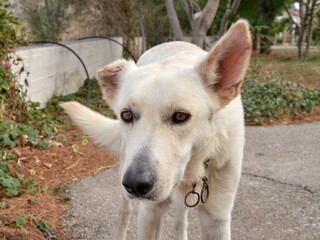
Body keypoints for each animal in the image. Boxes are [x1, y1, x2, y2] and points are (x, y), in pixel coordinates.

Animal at [61, 19, 252, 239]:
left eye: (181, 116)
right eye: (126, 115)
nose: (135, 184)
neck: (191, 172)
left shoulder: (217, 220)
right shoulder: (148, 212)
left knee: (180, 218)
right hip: (126, 172)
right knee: (125, 213)